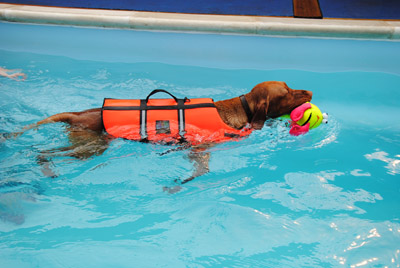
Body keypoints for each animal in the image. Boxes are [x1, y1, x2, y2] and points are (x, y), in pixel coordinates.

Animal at [15, 81, 312, 186]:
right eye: (288, 92)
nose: (309, 91)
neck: (241, 108)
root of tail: (77, 113)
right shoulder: (199, 150)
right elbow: (202, 170)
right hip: (90, 149)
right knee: (42, 154)